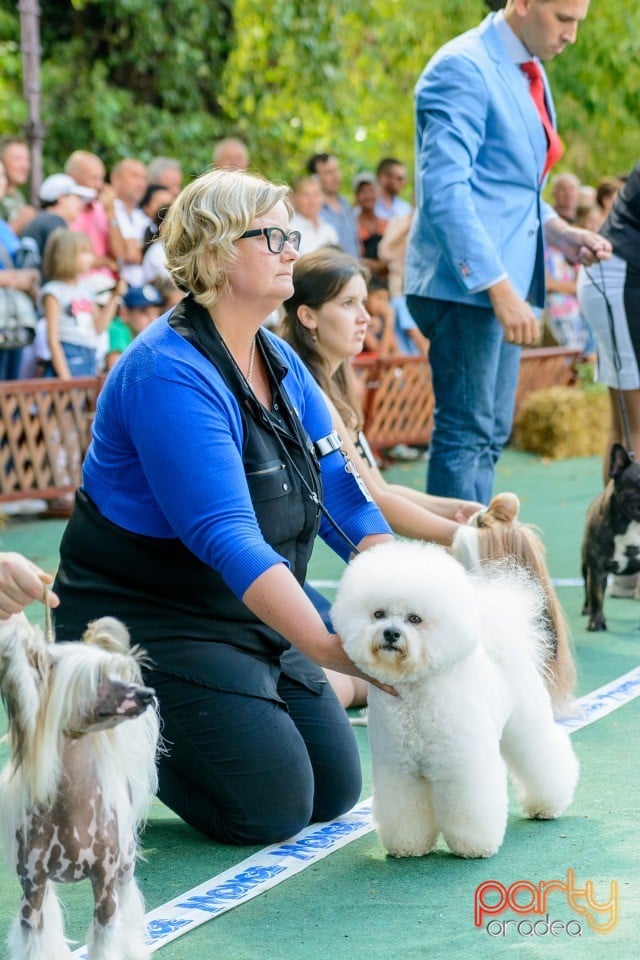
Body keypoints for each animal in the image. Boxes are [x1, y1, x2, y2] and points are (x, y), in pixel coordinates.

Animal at [0, 616, 160, 960]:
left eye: (119, 672)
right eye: (96, 678)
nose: (147, 694)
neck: (71, 807)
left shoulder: (105, 889)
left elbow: (107, 937)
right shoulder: (32, 889)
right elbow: (34, 939)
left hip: (125, 866)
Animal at [330, 540, 580, 864]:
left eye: (415, 619)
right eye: (379, 614)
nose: (391, 634)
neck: (415, 693)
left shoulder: (461, 765)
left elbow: (468, 807)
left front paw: (474, 846)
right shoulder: (399, 770)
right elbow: (405, 810)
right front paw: (408, 845)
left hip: (525, 723)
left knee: (543, 755)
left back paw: (547, 805)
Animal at [584, 446, 640, 632]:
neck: (633, 525)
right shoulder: (597, 570)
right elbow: (596, 597)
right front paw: (596, 622)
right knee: (586, 589)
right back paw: (586, 609)